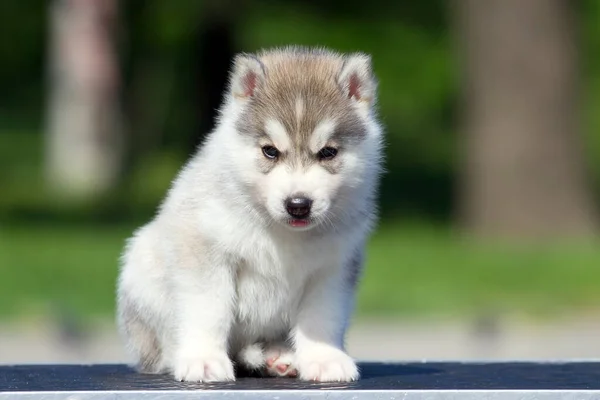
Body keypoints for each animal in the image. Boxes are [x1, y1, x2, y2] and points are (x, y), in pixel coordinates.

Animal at [117, 45, 384, 382]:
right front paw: (204, 358)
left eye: (327, 153)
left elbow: (322, 317)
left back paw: (276, 355)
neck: (284, 234)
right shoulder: (205, 250)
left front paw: (324, 358)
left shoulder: (334, 266)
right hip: (142, 264)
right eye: (270, 151)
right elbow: (209, 309)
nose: (298, 203)